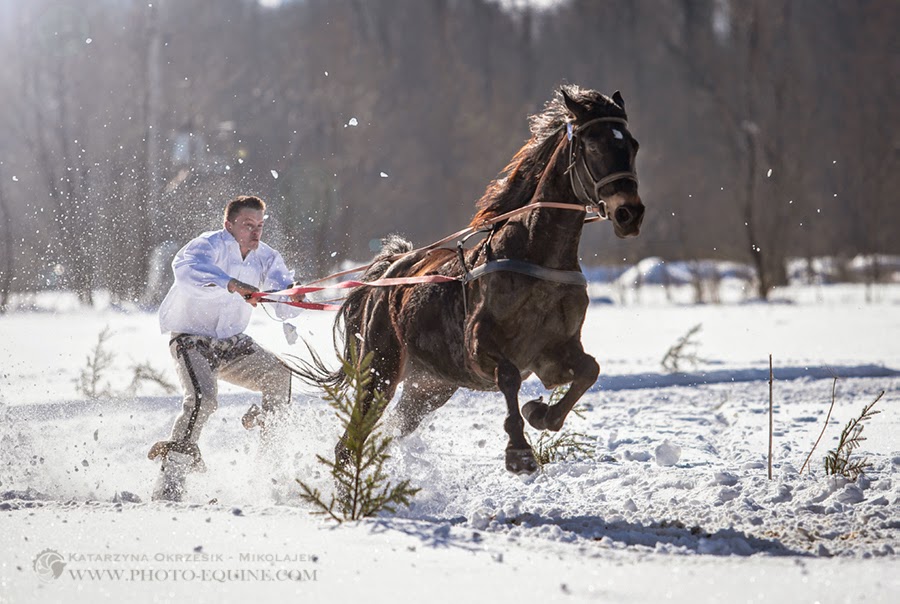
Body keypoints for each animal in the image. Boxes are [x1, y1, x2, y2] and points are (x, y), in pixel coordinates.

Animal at [303, 85, 644, 474]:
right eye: (593, 145)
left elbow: (589, 370)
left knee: (392, 426)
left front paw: (540, 413)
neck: (536, 257)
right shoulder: (479, 347)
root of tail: (386, 276)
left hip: (428, 388)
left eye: (632, 145)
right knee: (349, 439)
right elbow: (509, 375)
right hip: (380, 370)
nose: (629, 213)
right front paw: (519, 450)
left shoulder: (555, 351)